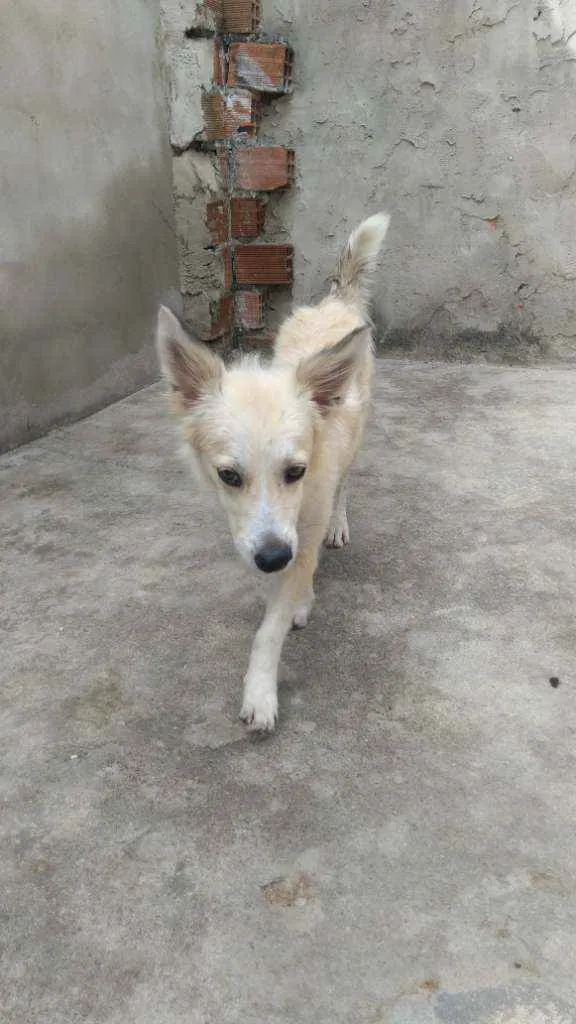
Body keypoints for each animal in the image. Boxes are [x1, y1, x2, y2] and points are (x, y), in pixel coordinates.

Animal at [156, 211, 387, 733]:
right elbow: (283, 583)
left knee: (346, 485)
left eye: (296, 470)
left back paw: (338, 526)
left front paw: (260, 692)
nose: (273, 558)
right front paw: (295, 597)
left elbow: (272, 626)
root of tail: (336, 301)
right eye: (228, 476)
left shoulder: (301, 523)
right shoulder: (266, 538)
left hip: (357, 438)